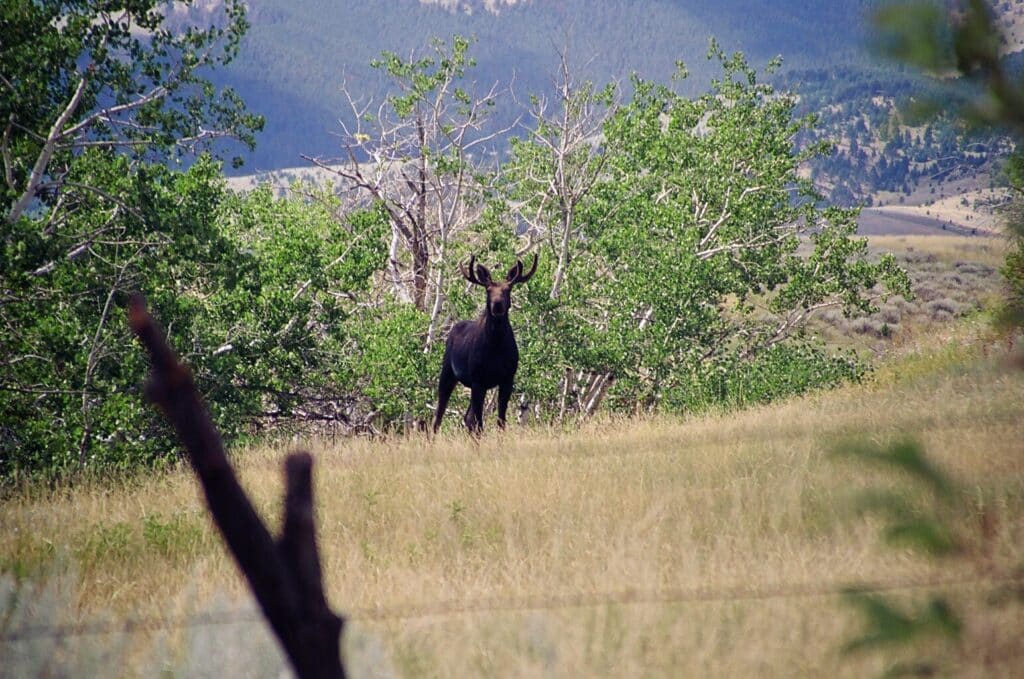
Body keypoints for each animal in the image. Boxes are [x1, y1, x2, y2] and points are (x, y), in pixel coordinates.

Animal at [433, 253, 538, 434]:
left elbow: (500, 420)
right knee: (439, 416)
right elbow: (479, 423)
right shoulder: (478, 380)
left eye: (508, 289)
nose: (497, 305)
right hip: (448, 372)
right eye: (488, 290)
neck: (495, 346)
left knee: (467, 418)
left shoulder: (507, 379)